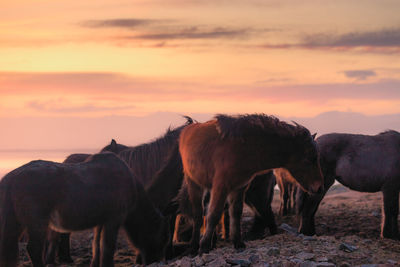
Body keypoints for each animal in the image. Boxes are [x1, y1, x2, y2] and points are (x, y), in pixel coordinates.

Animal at [0, 153, 169, 267]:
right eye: (161, 237)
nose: (154, 261)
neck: (130, 182)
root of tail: (12, 176)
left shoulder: (101, 222)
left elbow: (96, 245)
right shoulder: (113, 220)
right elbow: (108, 247)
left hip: (18, 225)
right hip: (36, 224)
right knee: (34, 249)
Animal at [180, 114, 324, 254]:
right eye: (310, 158)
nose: (319, 187)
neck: (243, 147)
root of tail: (188, 130)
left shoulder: (239, 188)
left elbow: (236, 213)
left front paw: (238, 242)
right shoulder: (221, 187)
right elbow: (214, 214)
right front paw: (204, 246)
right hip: (194, 184)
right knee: (198, 215)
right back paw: (194, 246)